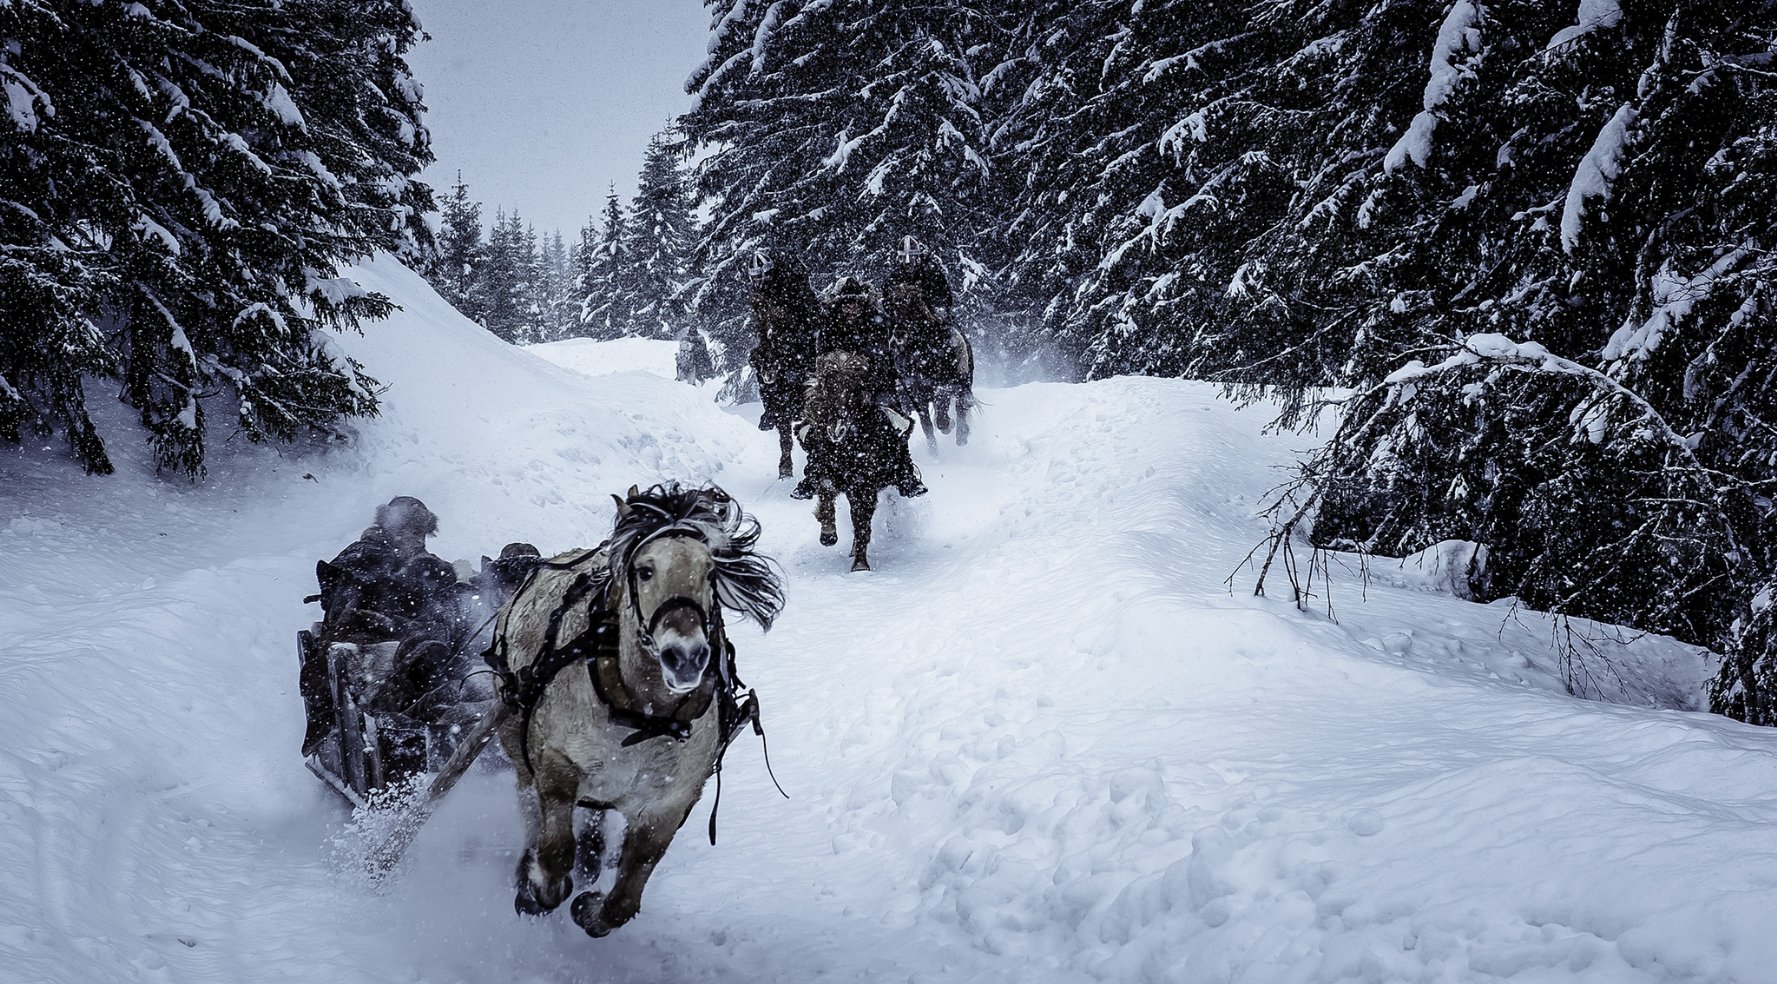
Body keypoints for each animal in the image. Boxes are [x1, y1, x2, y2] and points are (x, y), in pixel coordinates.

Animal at [490, 483, 788, 937]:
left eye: (709, 572)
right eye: (645, 571)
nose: (686, 658)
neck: (643, 716)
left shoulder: (670, 803)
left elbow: (626, 895)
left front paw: (591, 908)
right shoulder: (557, 764)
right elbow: (556, 851)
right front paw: (537, 887)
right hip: (517, 741)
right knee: (529, 804)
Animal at [796, 349, 916, 568]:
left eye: (854, 389)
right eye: (828, 387)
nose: (836, 431)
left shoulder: (864, 485)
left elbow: (862, 520)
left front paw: (860, 565)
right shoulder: (826, 472)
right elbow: (827, 492)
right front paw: (828, 534)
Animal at [884, 280, 980, 449]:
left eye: (913, 306)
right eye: (892, 309)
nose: (899, 335)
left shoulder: (943, 387)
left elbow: (942, 419)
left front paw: (949, 425)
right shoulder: (917, 394)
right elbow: (926, 424)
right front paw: (932, 450)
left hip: (963, 381)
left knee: (961, 406)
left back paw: (962, 436)